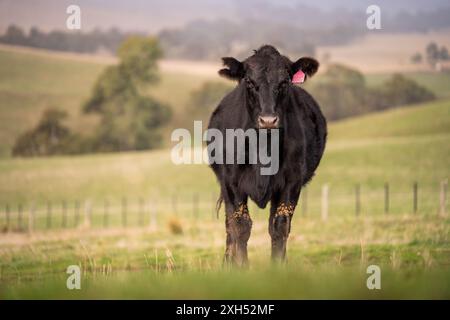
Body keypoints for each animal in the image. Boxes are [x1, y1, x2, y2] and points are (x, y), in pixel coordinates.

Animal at [207, 45, 326, 264]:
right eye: (249, 82)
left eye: (285, 81)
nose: (268, 120)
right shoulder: (232, 182)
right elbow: (240, 225)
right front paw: (241, 267)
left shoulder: (292, 181)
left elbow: (280, 225)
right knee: (229, 225)